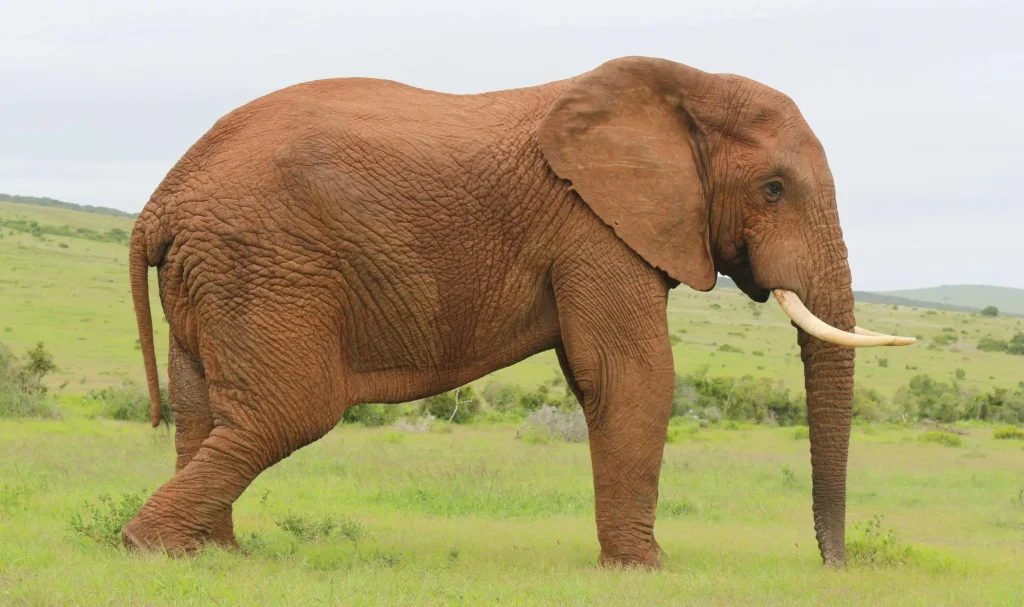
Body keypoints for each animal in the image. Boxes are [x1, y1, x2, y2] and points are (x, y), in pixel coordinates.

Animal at [124, 56, 913, 567]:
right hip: (265, 264)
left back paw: (213, 556)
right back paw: (150, 548)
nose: (835, 566)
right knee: (288, 411)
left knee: (203, 408)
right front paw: (647, 569)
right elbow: (631, 376)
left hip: (218, 274)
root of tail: (162, 201)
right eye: (774, 188)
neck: (683, 89)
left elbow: (604, 378)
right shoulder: (592, 224)